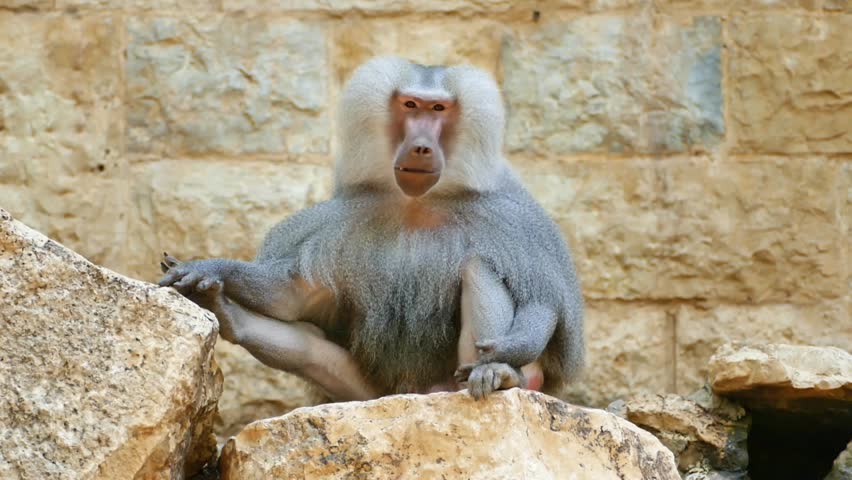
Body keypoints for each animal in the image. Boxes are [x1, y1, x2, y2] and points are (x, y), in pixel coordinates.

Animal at [158, 56, 584, 402]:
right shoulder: (342, 224)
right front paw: (213, 269)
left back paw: (496, 374)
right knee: (310, 348)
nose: (421, 147)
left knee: (479, 267)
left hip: (459, 378)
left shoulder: (511, 219)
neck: (416, 203)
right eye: (410, 105)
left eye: (438, 108)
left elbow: (543, 302)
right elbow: (290, 295)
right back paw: (229, 315)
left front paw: (507, 353)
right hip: (372, 394)